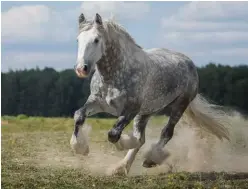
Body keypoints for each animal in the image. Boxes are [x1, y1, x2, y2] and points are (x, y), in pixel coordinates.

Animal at [70, 12, 230, 176]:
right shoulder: (97, 102)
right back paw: (121, 167)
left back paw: (150, 159)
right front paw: (80, 148)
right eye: (78, 40)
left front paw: (125, 142)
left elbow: (114, 134)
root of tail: (189, 62)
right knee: (142, 138)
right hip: (146, 112)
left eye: (96, 39)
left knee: (166, 133)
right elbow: (79, 115)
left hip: (179, 106)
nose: (81, 69)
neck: (115, 74)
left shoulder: (131, 109)